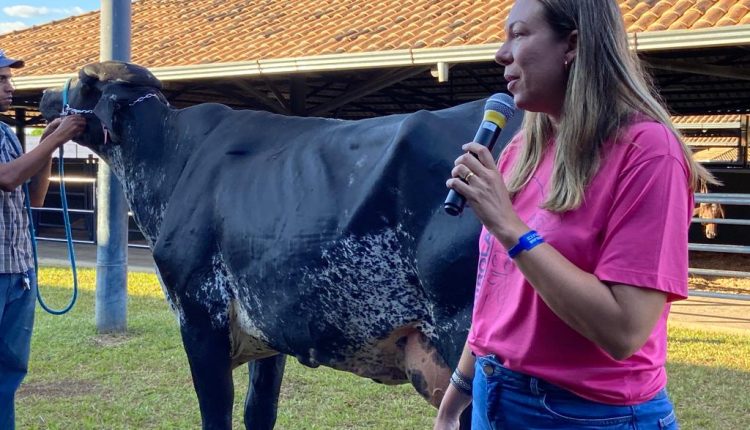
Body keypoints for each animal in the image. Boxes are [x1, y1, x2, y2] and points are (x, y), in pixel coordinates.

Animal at [41, 61, 524, 430]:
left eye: (83, 80)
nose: (44, 95)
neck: (171, 159)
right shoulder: (268, 330)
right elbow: (259, 411)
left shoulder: (199, 316)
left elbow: (216, 414)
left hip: (463, 333)